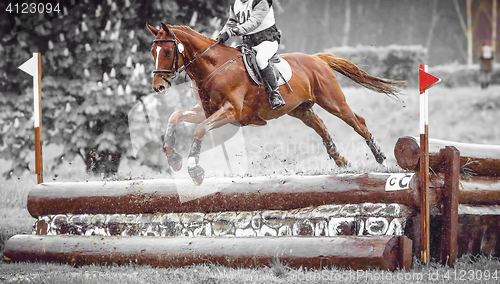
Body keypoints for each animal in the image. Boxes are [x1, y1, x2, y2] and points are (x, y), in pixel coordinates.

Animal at [146, 23, 404, 185]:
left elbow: (199, 129)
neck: (214, 66)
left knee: (357, 121)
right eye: (152, 51)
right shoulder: (205, 111)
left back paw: (380, 157)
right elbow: (175, 116)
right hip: (300, 111)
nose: (158, 86)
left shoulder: (231, 113)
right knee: (320, 125)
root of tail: (316, 59)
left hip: (333, 101)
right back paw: (340, 160)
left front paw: (194, 169)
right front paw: (173, 159)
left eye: (167, 52)